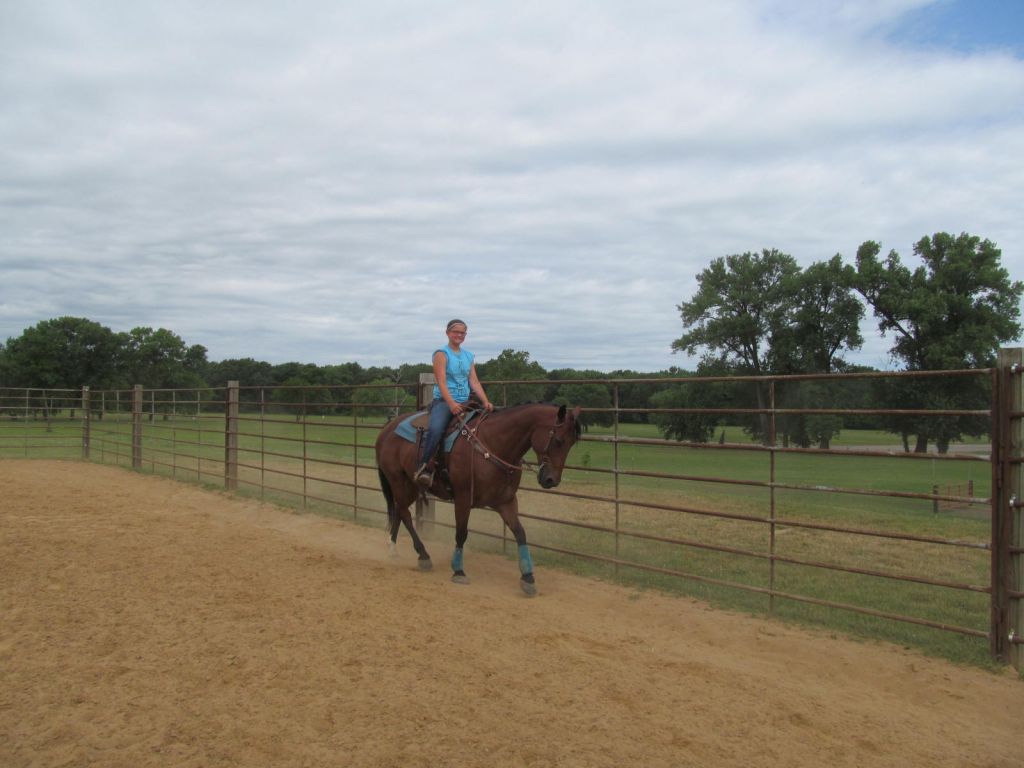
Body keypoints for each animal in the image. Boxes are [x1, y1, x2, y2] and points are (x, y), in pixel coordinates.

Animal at [376, 399, 585, 598]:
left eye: (571, 444)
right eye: (558, 441)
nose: (551, 480)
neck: (492, 444)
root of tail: (387, 428)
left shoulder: (506, 501)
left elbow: (520, 533)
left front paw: (528, 578)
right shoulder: (463, 498)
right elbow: (461, 533)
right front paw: (458, 571)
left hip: (411, 485)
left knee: (400, 510)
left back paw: (393, 547)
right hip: (397, 480)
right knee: (405, 514)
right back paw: (423, 555)